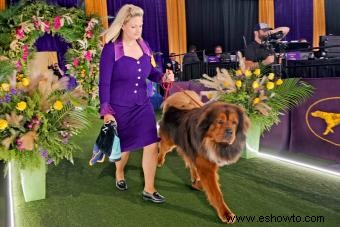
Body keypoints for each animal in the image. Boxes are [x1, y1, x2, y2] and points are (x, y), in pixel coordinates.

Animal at [157, 90, 250, 223]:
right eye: (220, 122)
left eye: (234, 123)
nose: (229, 132)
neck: (210, 141)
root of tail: (172, 108)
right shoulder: (206, 167)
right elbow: (216, 193)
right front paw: (225, 213)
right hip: (169, 142)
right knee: (162, 148)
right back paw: (159, 160)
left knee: (191, 164)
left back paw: (196, 182)